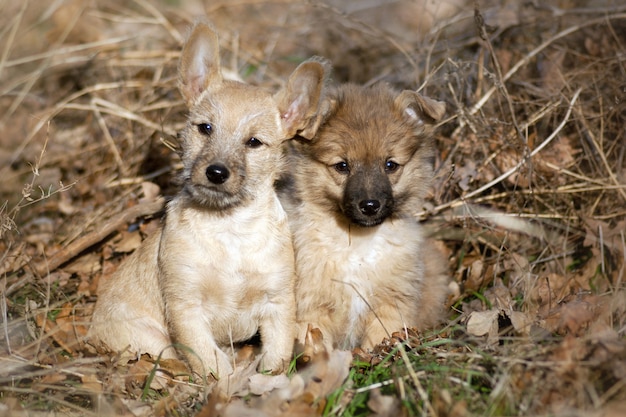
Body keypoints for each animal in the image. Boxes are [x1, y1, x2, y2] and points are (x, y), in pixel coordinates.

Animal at [88, 20, 330, 376]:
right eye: (205, 128)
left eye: (254, 142)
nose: (216, 173)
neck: (229, 228)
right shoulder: (185, 308)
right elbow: (214, 366)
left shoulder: (279, 303)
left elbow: (274, 359)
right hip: (150, 341)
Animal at [282, 83, 448, 350]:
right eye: (342, 166)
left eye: (390, 165)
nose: (370, 206)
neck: (358, 241)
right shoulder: (311, 306)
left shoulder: (391, 303)